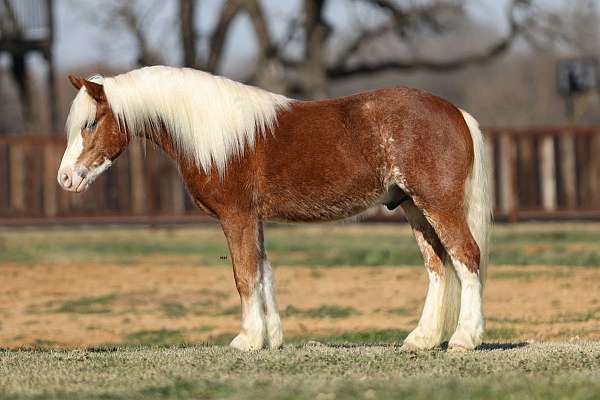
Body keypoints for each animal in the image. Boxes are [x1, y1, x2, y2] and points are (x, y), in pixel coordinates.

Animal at [58, 67, 492, 352]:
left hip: (438, 205)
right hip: (414, 208)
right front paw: (271, 339)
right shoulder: (255, 220)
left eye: (91, 124)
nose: (65, 179)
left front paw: (247, 340)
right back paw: (422, 340)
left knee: (466, 257)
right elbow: (263, 273)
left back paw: (463, 340)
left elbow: (244, 276)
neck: (220, 136)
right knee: (439, 267)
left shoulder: (237, 218)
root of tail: (456, 113)